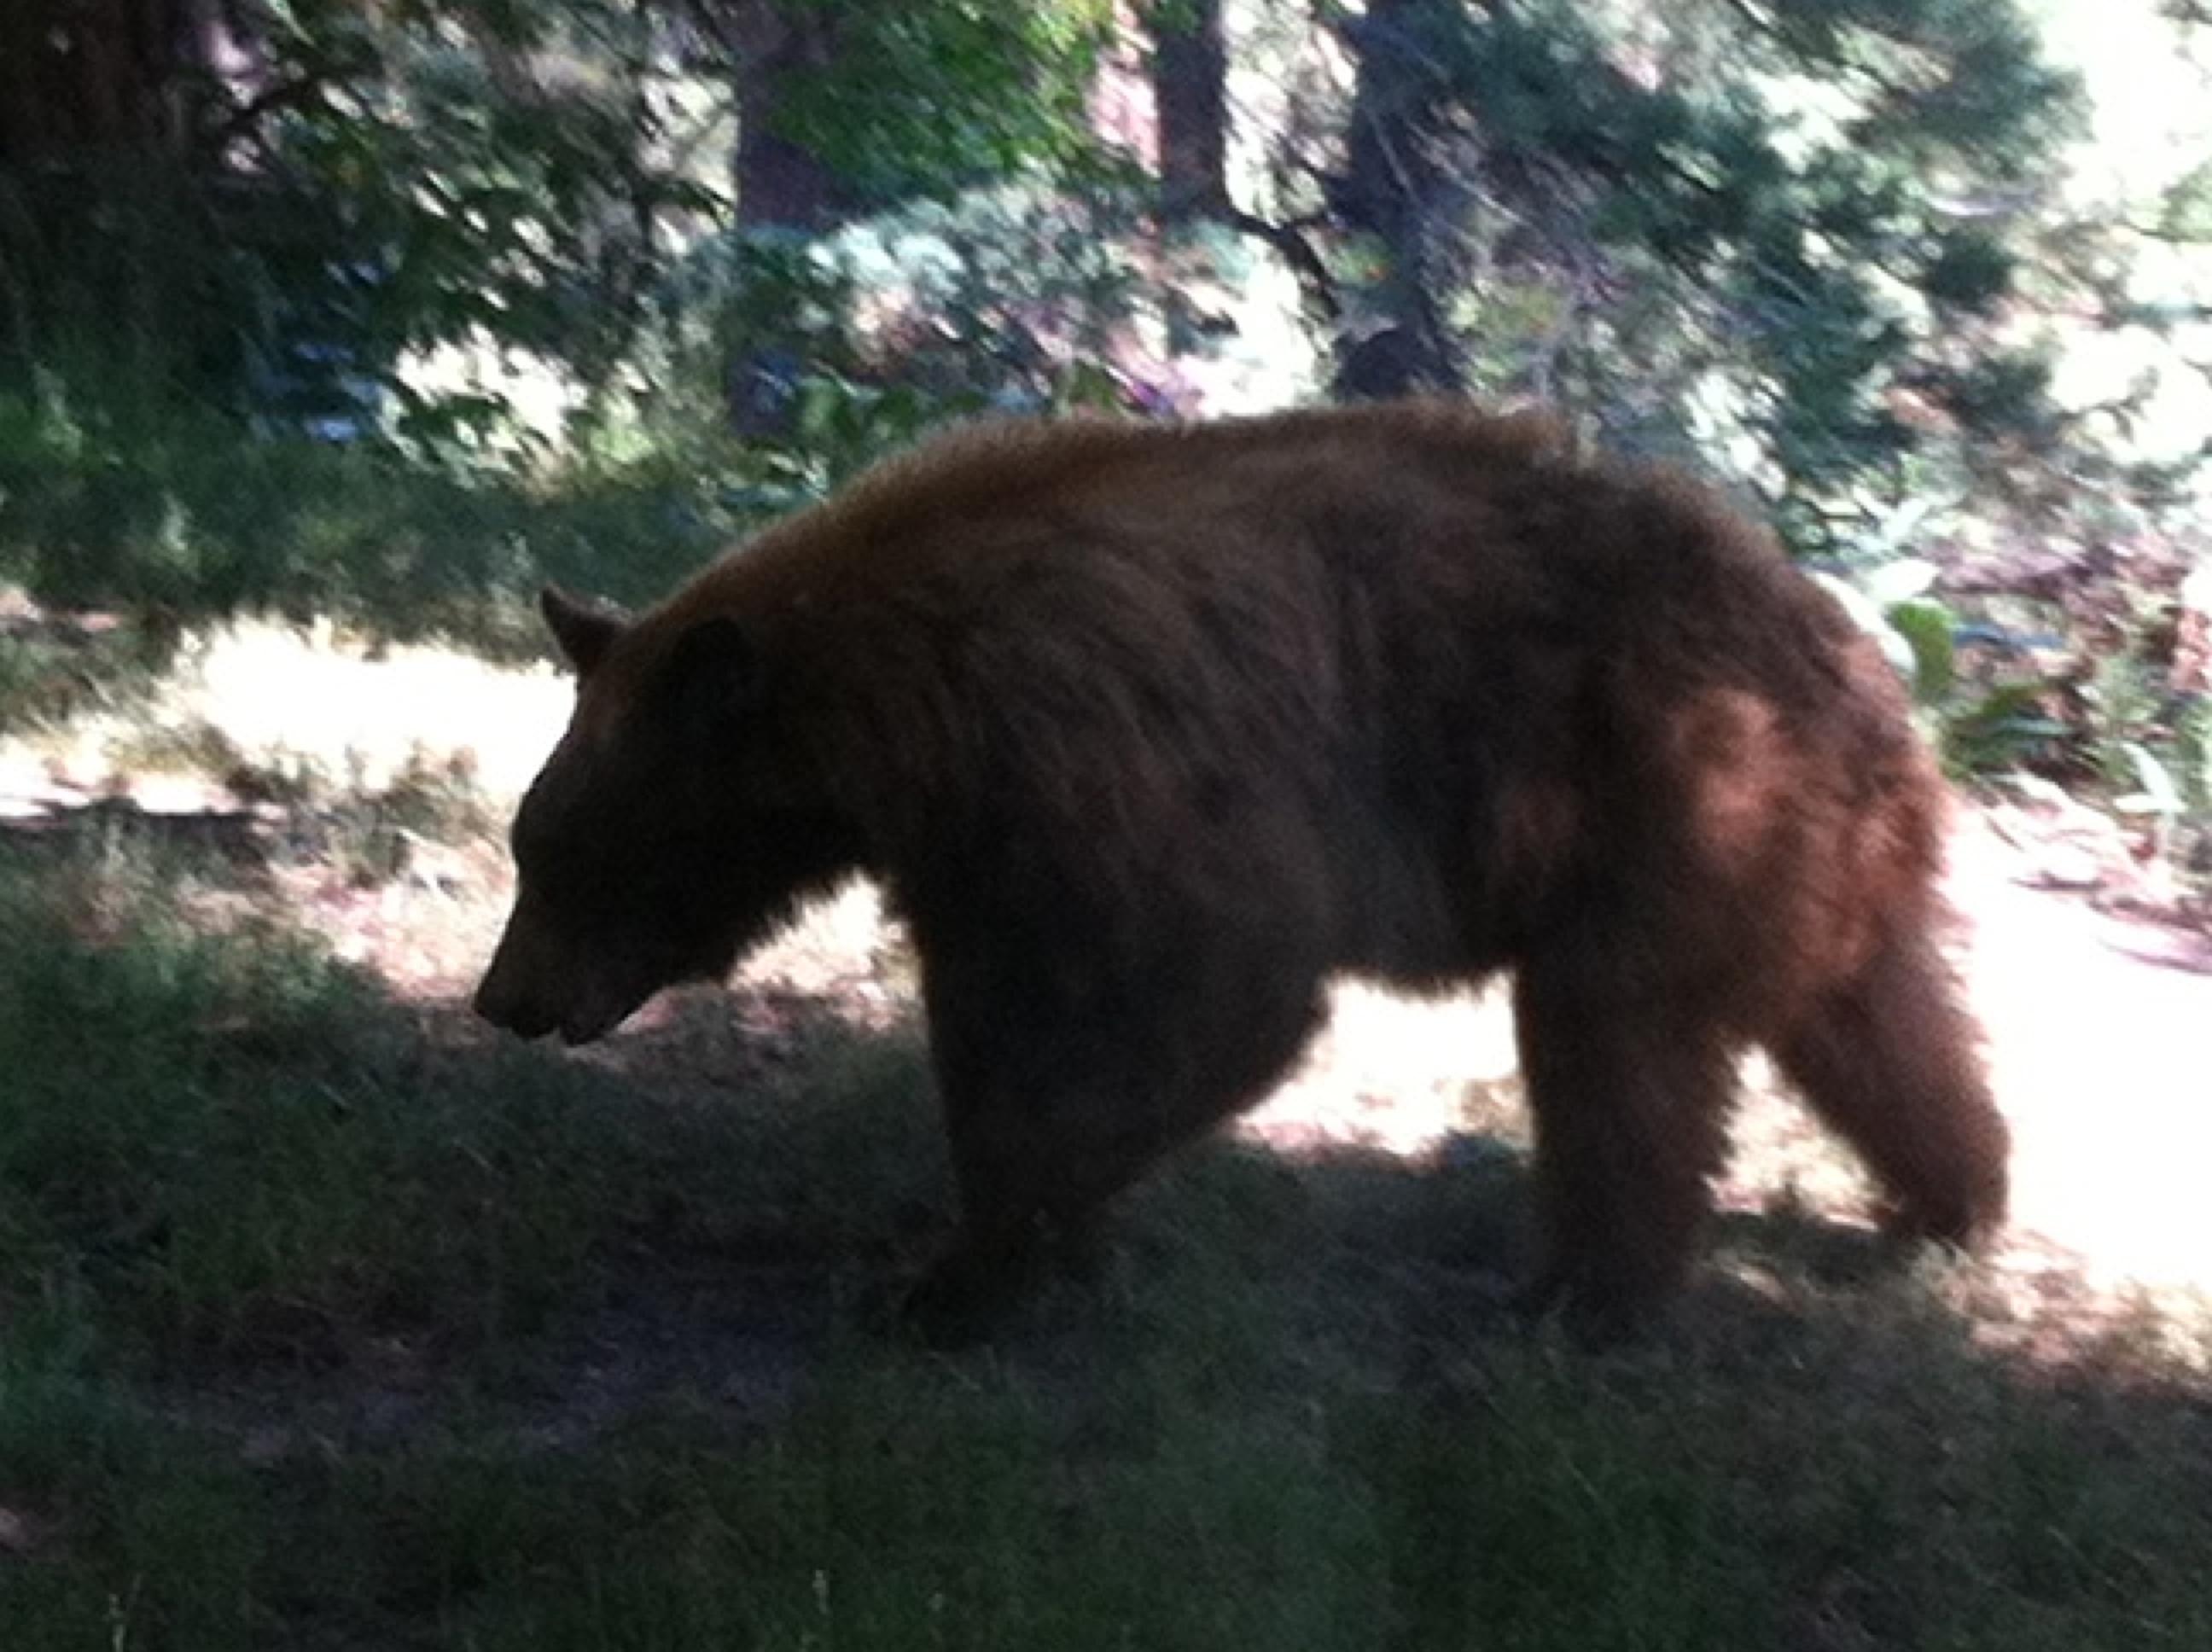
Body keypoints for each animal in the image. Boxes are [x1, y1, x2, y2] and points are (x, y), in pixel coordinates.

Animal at [475, 400, 2017, 1344]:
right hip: (1809, 871)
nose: (502, 1001)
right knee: (1884, 1037)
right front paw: (998, 1241)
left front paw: (981, 1264)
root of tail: (1882, 695)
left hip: (1678, 806)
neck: (893, 709)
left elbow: (1221, 995)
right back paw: (1950, 1206)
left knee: (1615, 1052)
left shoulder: (1103, 764)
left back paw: (1585, 1299)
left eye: (562, 853)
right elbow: (990, 1027)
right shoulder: (983, 847)